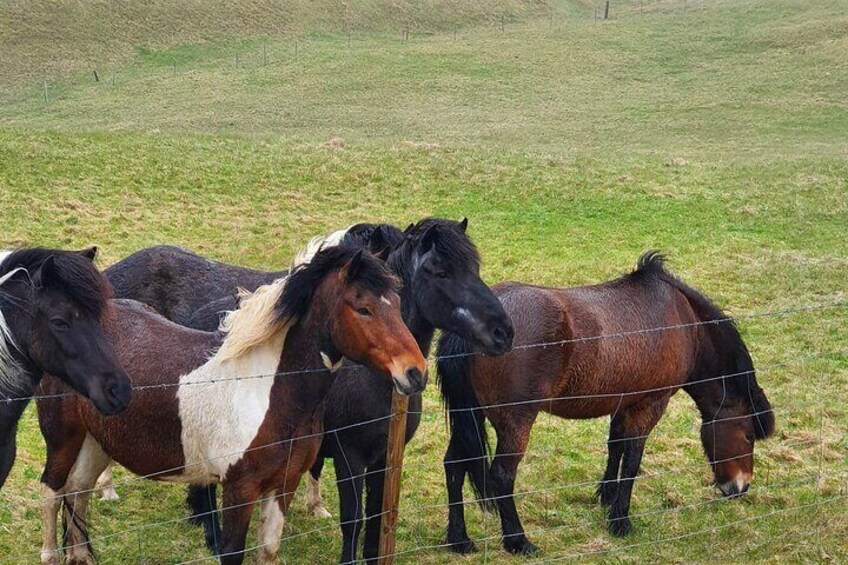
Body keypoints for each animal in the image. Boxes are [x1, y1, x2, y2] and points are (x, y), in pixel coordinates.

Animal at [37, 239, 428, 564]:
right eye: (363, 309)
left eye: (397, 303)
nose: (415, 372)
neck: (267, 391)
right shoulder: (240, 489)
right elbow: (232, 553)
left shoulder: (283, 485)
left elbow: (268, 550)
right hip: (62, 440)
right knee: (53, 492)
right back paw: (52, 553)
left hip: (97, 441)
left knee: (79, 492)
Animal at [438, 252, 776, 556]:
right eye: (748, 434)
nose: (741, 487)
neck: (683, 321)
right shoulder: (649, 405)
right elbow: (632, 461)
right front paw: (620, 520)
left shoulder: (622, 403)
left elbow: (615, 448)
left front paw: (607, 497)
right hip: (515, 423)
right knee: (502, 476)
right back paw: (518, 541)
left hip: (470, 417)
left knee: (454, 465)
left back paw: (460, 540)